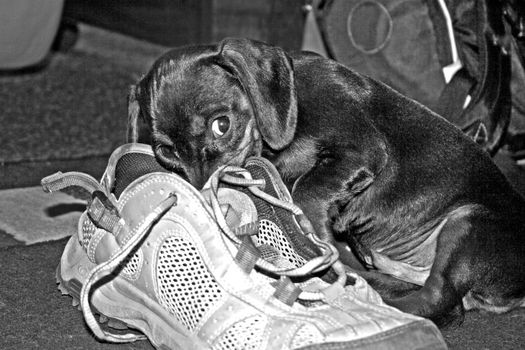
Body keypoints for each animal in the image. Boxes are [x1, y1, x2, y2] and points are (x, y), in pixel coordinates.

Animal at [127, 37, 524, 326]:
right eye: (165, 151)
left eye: (221, 124)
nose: (208, 199)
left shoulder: (363, 150)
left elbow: (306, 189)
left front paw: (315, 236)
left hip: (468, 223)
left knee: (440, 301)